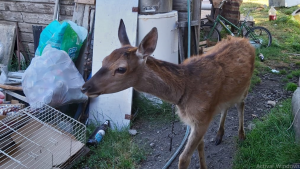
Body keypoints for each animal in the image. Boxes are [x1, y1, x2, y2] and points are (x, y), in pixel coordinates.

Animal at [81, 19, 255, 168]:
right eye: (104, 60)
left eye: (121, 69)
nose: (84, 87)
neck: (184, 91)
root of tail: (245, 40)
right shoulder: (195, 120)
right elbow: (201, 145)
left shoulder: (202, 118)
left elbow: (184, 158)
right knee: (227, 105)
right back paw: (219, 135)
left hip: (246, 86)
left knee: (241, 105)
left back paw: (241, 135)